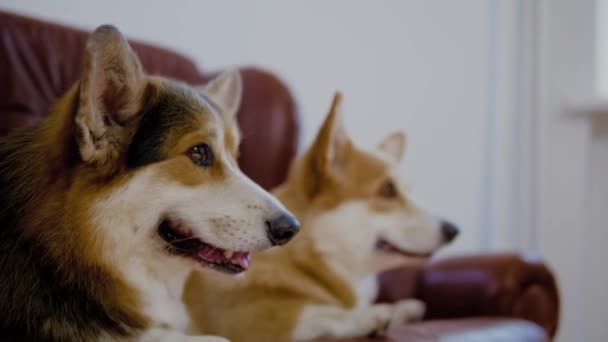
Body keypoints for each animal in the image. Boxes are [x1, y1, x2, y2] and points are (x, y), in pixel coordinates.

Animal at [185, 92, 460, 340]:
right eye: (387, 190)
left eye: (407, 191)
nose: (453, 230)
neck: (309, 259)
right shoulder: (252, 321)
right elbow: (319, 314)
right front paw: (372, 316)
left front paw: (406, 309)